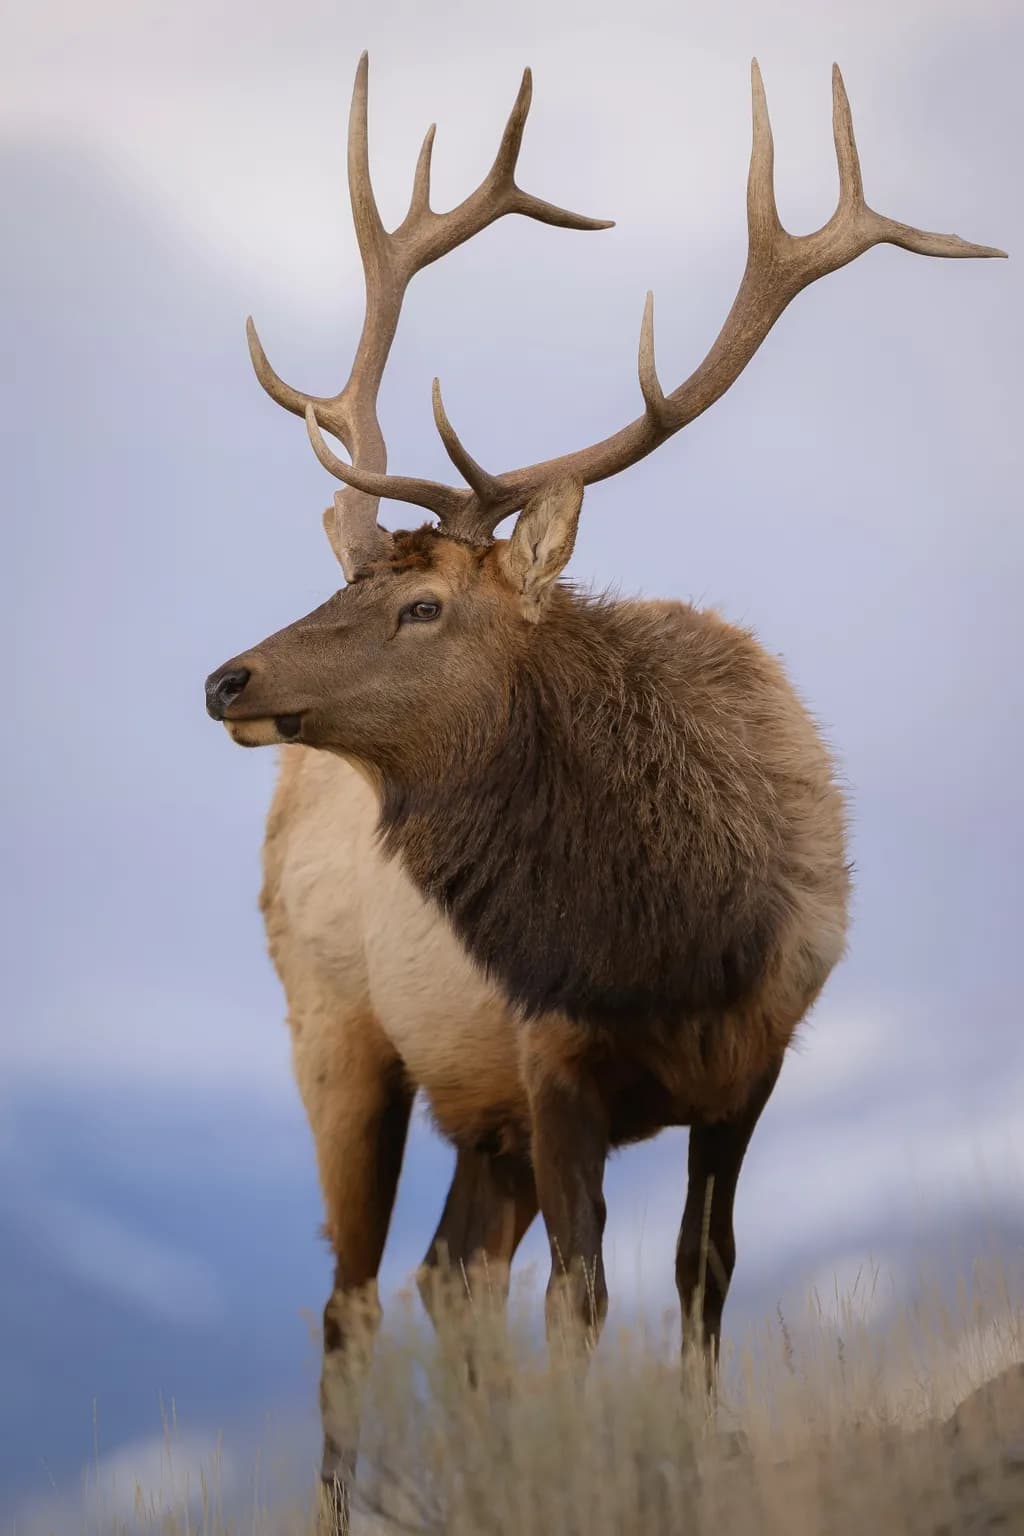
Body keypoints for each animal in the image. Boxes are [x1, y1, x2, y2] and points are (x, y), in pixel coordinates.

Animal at [204, 52, 1004, 1530]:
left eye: (418, 605)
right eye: (349, 584)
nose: (228, 678)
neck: (662, 937)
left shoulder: (759, 1050)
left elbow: (703, 1279)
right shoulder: (549, 1060)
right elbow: (579, 1300)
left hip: (477, 1125)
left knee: (444, 1279)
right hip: (337, 1029)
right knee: (351, 1306)